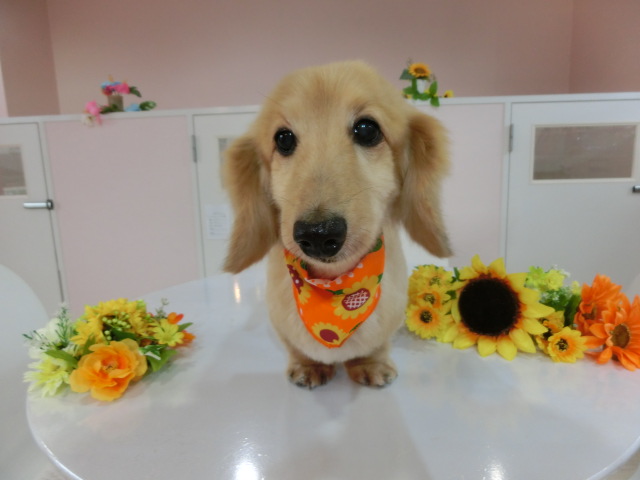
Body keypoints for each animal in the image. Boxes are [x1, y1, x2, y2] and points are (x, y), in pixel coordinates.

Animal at [223, 61, 451, 388]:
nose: (318, 235)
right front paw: (308, 366)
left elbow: (376, 345)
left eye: (367, 129)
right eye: (283, 139)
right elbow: (297, 348)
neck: (335, 287)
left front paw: (370, 364)